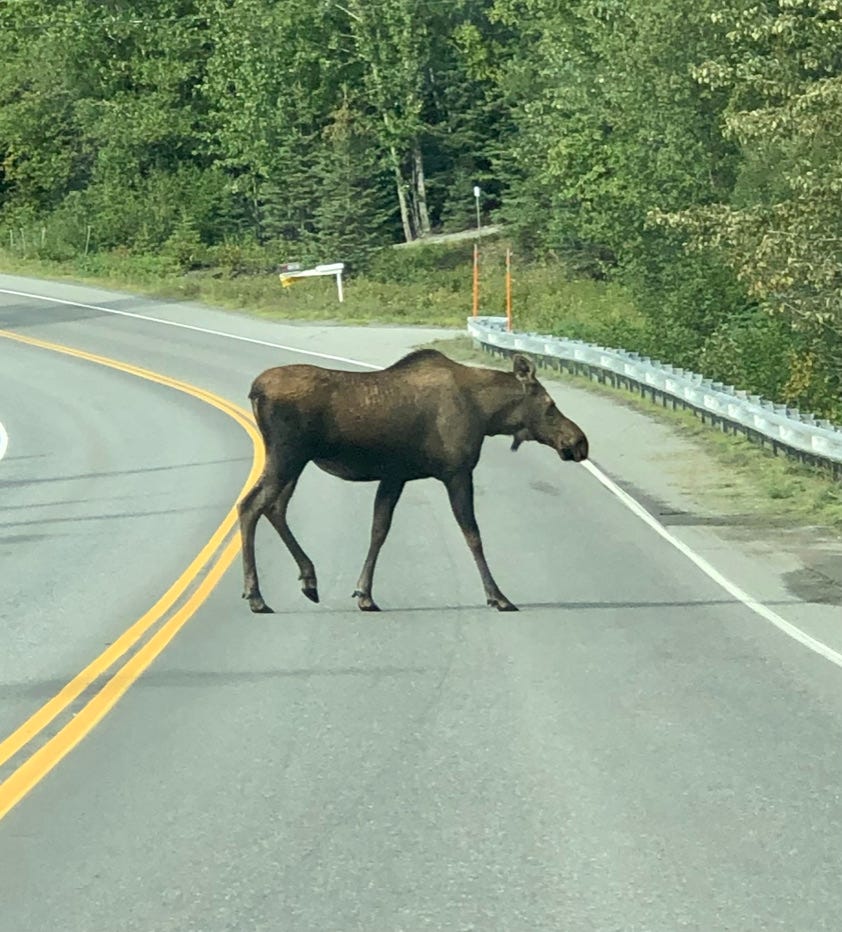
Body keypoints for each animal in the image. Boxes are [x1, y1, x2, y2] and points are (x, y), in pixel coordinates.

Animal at [238, 348, 588, 613]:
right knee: (250, 505)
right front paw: (498, 596)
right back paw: (256, 596)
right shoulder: (457, 472)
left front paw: (364, 594)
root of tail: (254, 391)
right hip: (288, 456)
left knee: (274, 508)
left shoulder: (395, 475)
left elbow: (379, 530)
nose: (579, 442)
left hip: (294, 461)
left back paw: (308, 580)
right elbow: (473, 535)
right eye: (550, 405)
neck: (488, 415)